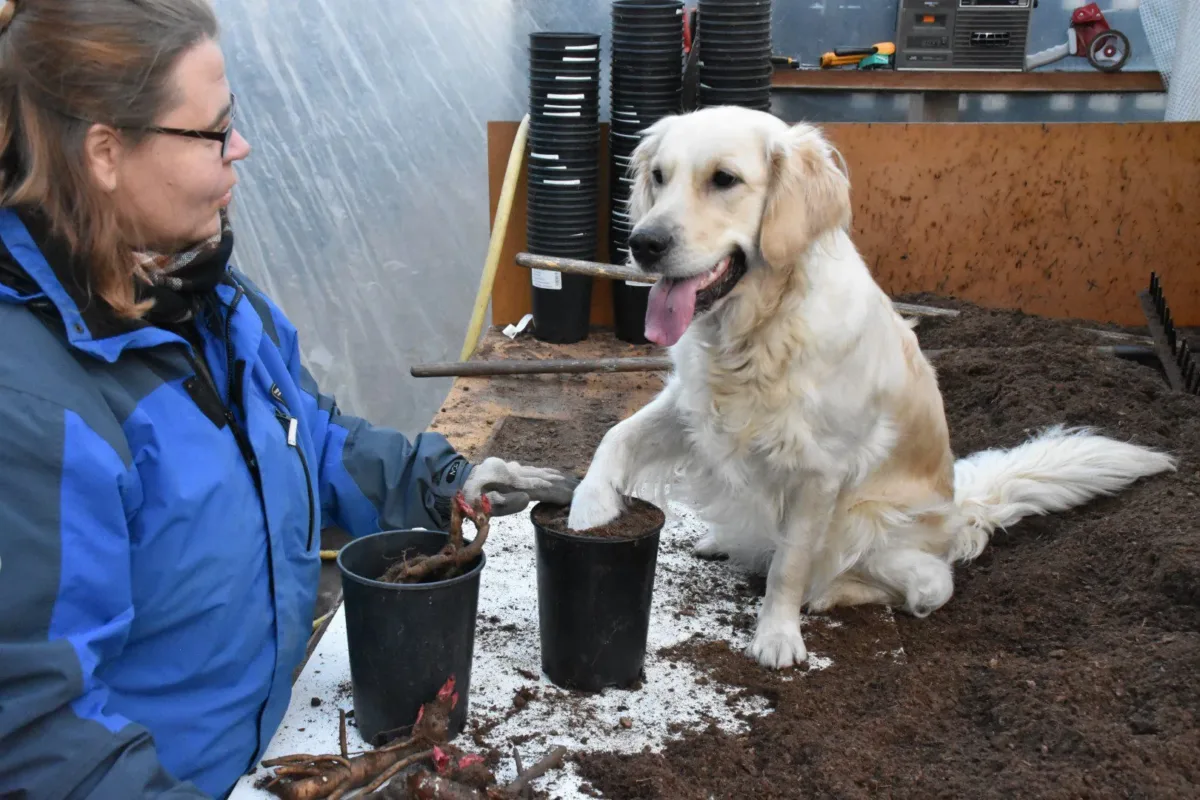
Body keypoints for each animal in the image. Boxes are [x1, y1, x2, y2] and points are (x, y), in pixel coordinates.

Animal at [565, 105, 1177, 669]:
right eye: (659, 176)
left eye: (724, 179)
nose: (642, 243)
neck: (760, 328)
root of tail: (962, 508)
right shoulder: (693, 406)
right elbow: (616, 435)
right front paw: (590, 509)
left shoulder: (818, 469)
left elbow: (789, 565)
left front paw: (777, 636)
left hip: (871, 527)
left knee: (925, 587)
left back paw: (829, 593)